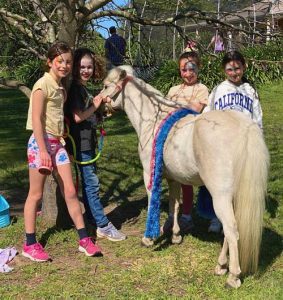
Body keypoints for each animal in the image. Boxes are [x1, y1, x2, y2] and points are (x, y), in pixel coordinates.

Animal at [101, 66, 270, 288]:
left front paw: (148, 239)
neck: (153, 120)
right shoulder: (173, 179)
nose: (100, 107)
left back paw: (232, 276)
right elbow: (174, 205)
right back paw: (220, 266)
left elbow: (152, 203)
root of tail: (245, 127)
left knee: (231, 230)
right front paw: (175, 236)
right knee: (230, 229)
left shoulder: (149, 175)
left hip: (220, 196)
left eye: (105, 86)